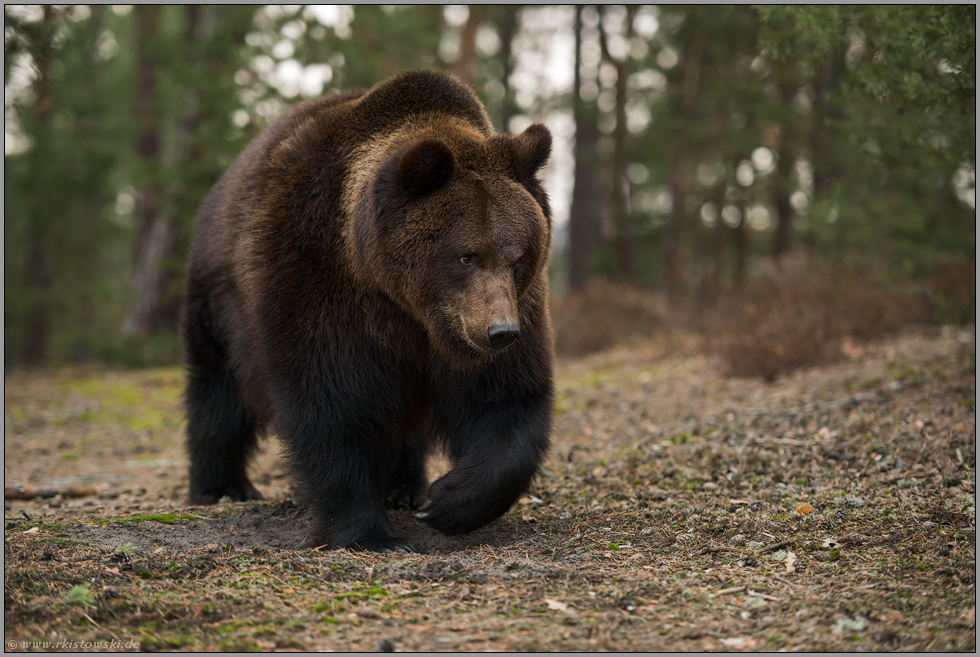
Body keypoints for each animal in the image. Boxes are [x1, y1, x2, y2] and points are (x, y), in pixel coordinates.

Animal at [181, 69, 556, 552]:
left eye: (517, 256)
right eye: (466, 255)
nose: (500, 331)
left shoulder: (510, 309)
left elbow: (506, 400)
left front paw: (448, 500)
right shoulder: (316, 283)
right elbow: (330, 404)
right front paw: (369, 533)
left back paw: (404, 487)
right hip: (219, 301)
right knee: (219, 393)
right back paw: (222, 487)